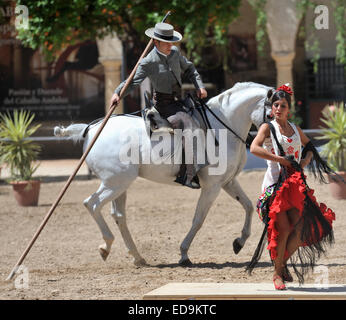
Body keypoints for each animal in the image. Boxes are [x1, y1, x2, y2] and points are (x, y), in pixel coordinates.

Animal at [54, 82, 274, 264]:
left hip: (119, 185)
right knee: (92, 204)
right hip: (114, 183)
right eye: (271, 113)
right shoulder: (212, 187)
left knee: (118, 215)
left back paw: (137, 256)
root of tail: (91, 130)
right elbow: (198, 220)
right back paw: (106, 246)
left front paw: (239, 242)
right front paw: (184, 253)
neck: (221, 128)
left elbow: (248, 206)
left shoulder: (228, 182)